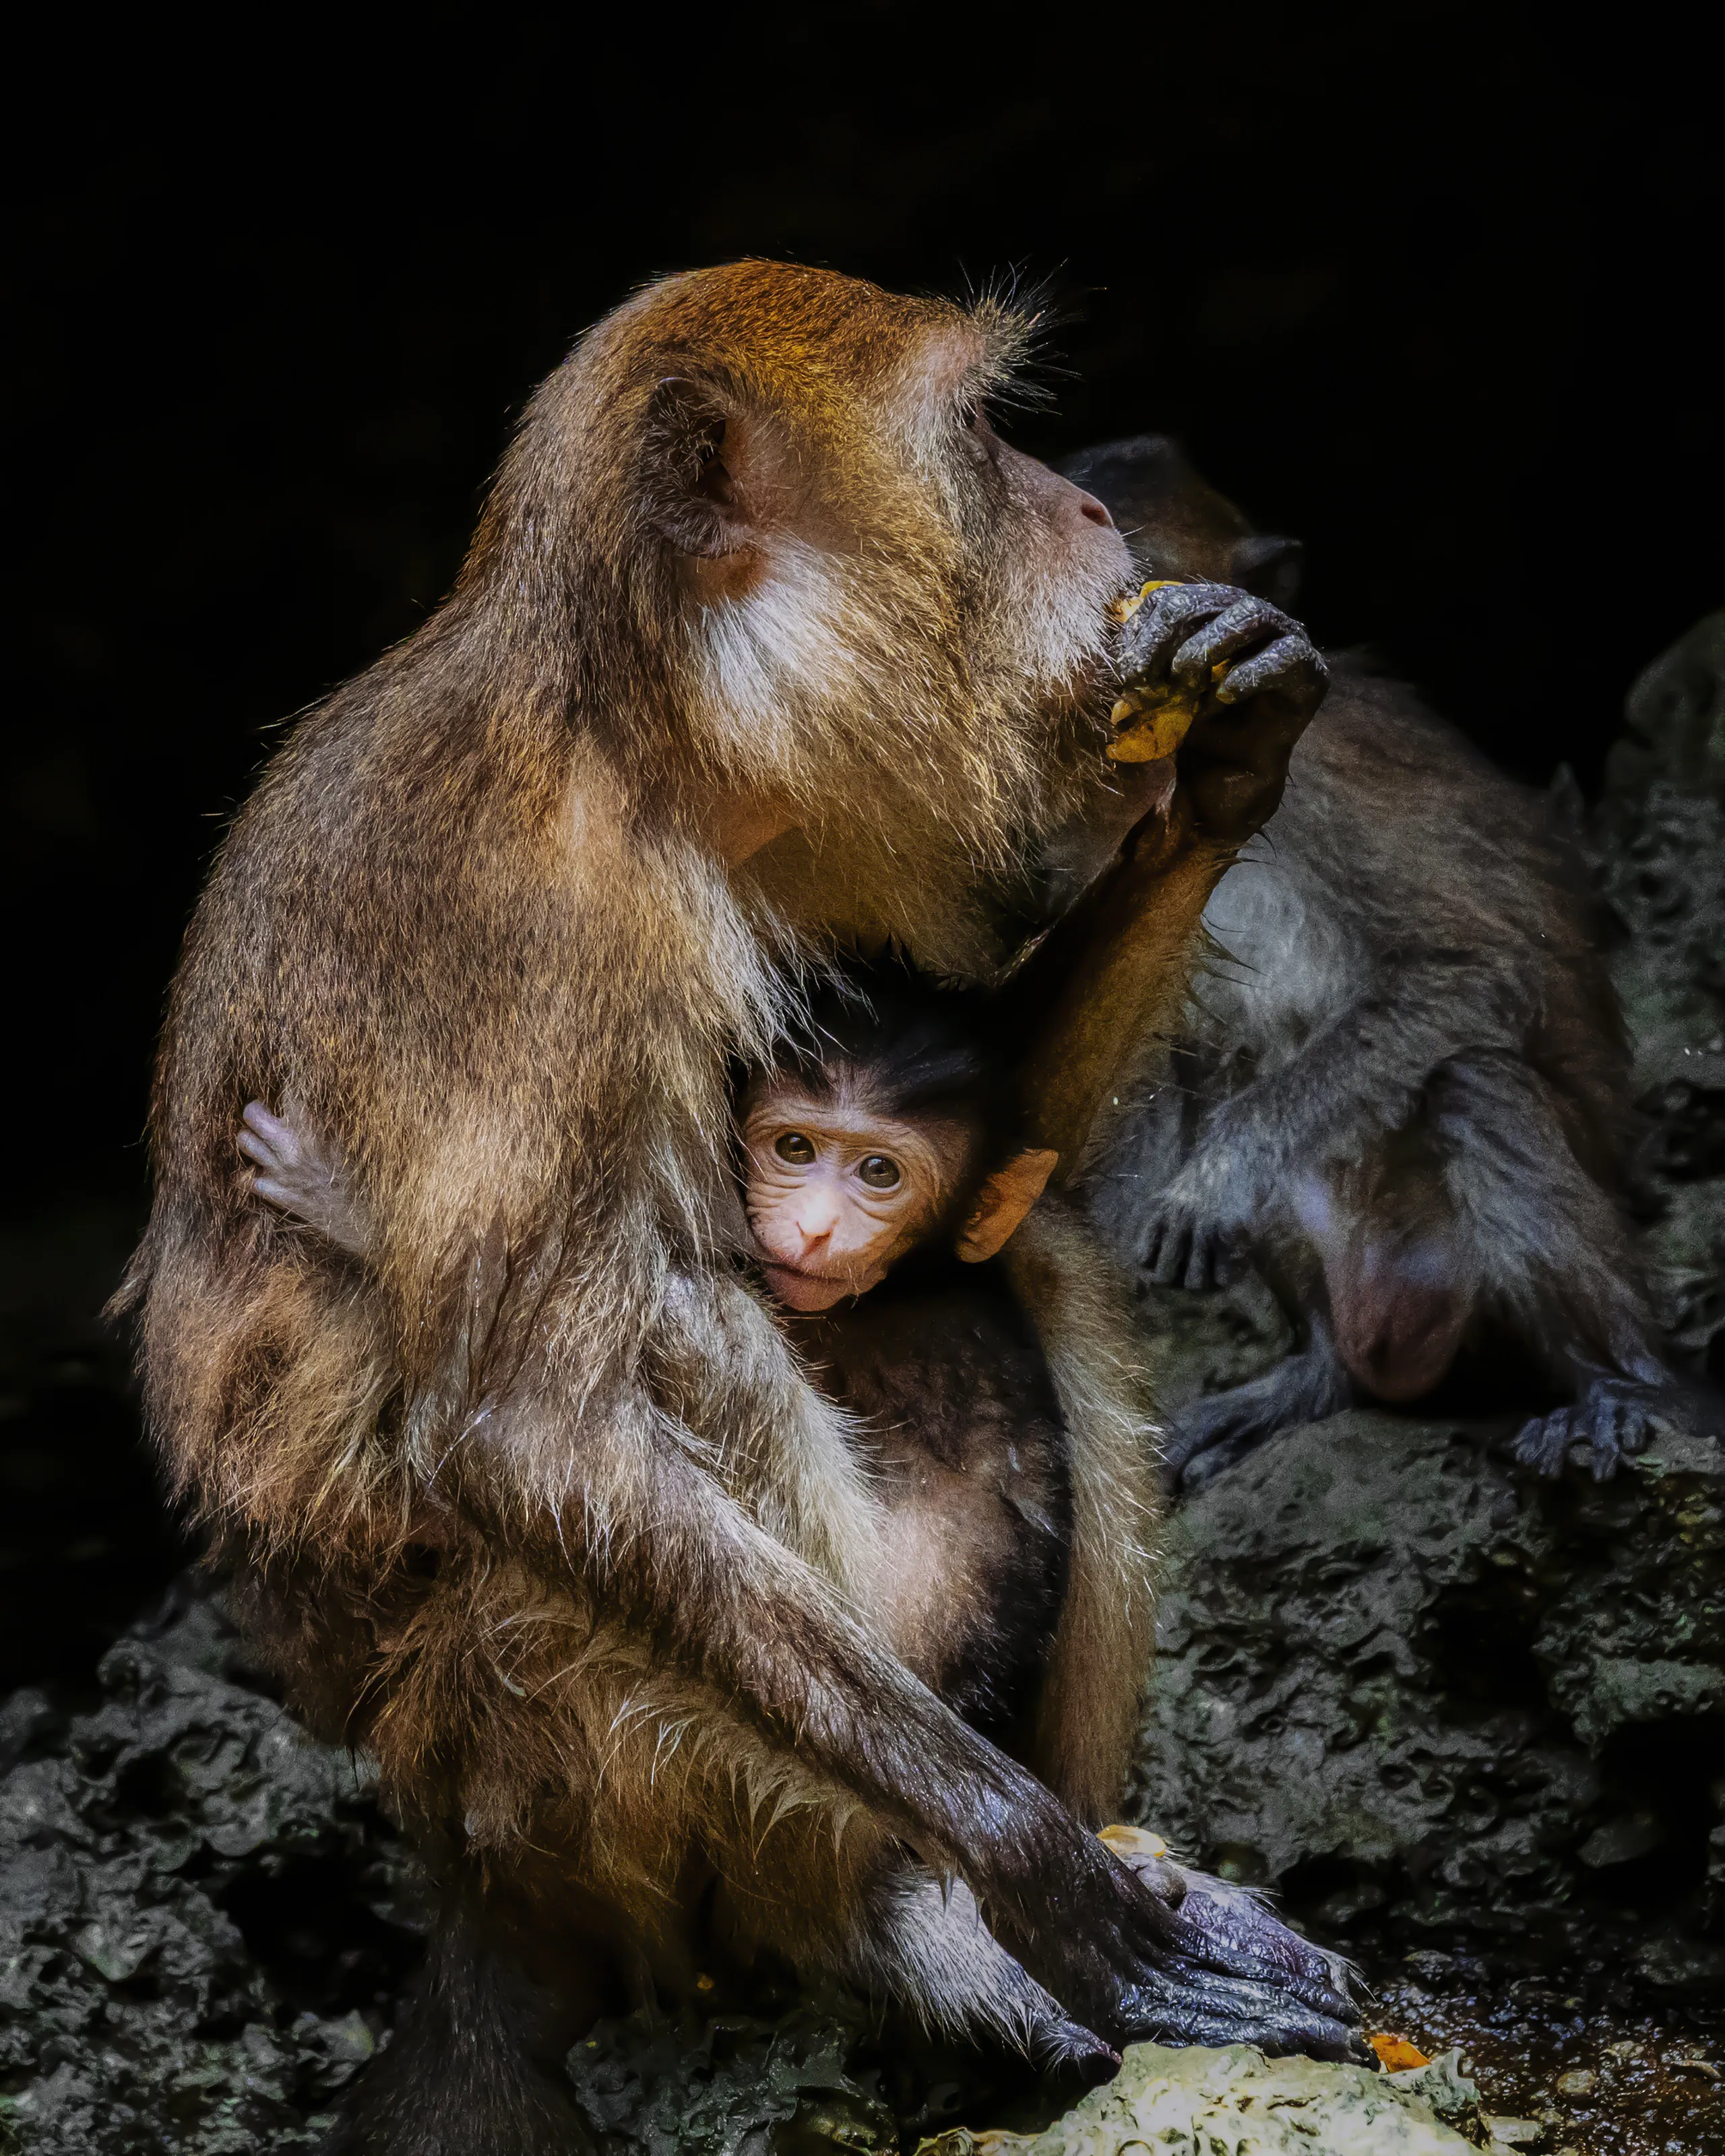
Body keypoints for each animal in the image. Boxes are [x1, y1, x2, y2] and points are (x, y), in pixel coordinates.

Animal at [118, 265, 1359, 2155]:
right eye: (983, 437)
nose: (1087, 512)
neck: (638, 748)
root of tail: (465, 1857)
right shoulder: (543, 937)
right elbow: (526, 1435)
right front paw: (1041, 1882)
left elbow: (1015, 1138)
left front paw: (1229, 760)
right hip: (550, 1759)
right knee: (676, 1326)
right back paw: (889, 1911)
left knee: (1029, 1251)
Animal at [1057, 434, 1673, 1490]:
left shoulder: (1334, 770)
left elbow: (1471, 967)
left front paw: (1217, 1177)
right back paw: (1312, 1378)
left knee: (1475, 1089)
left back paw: (1621, 1383)